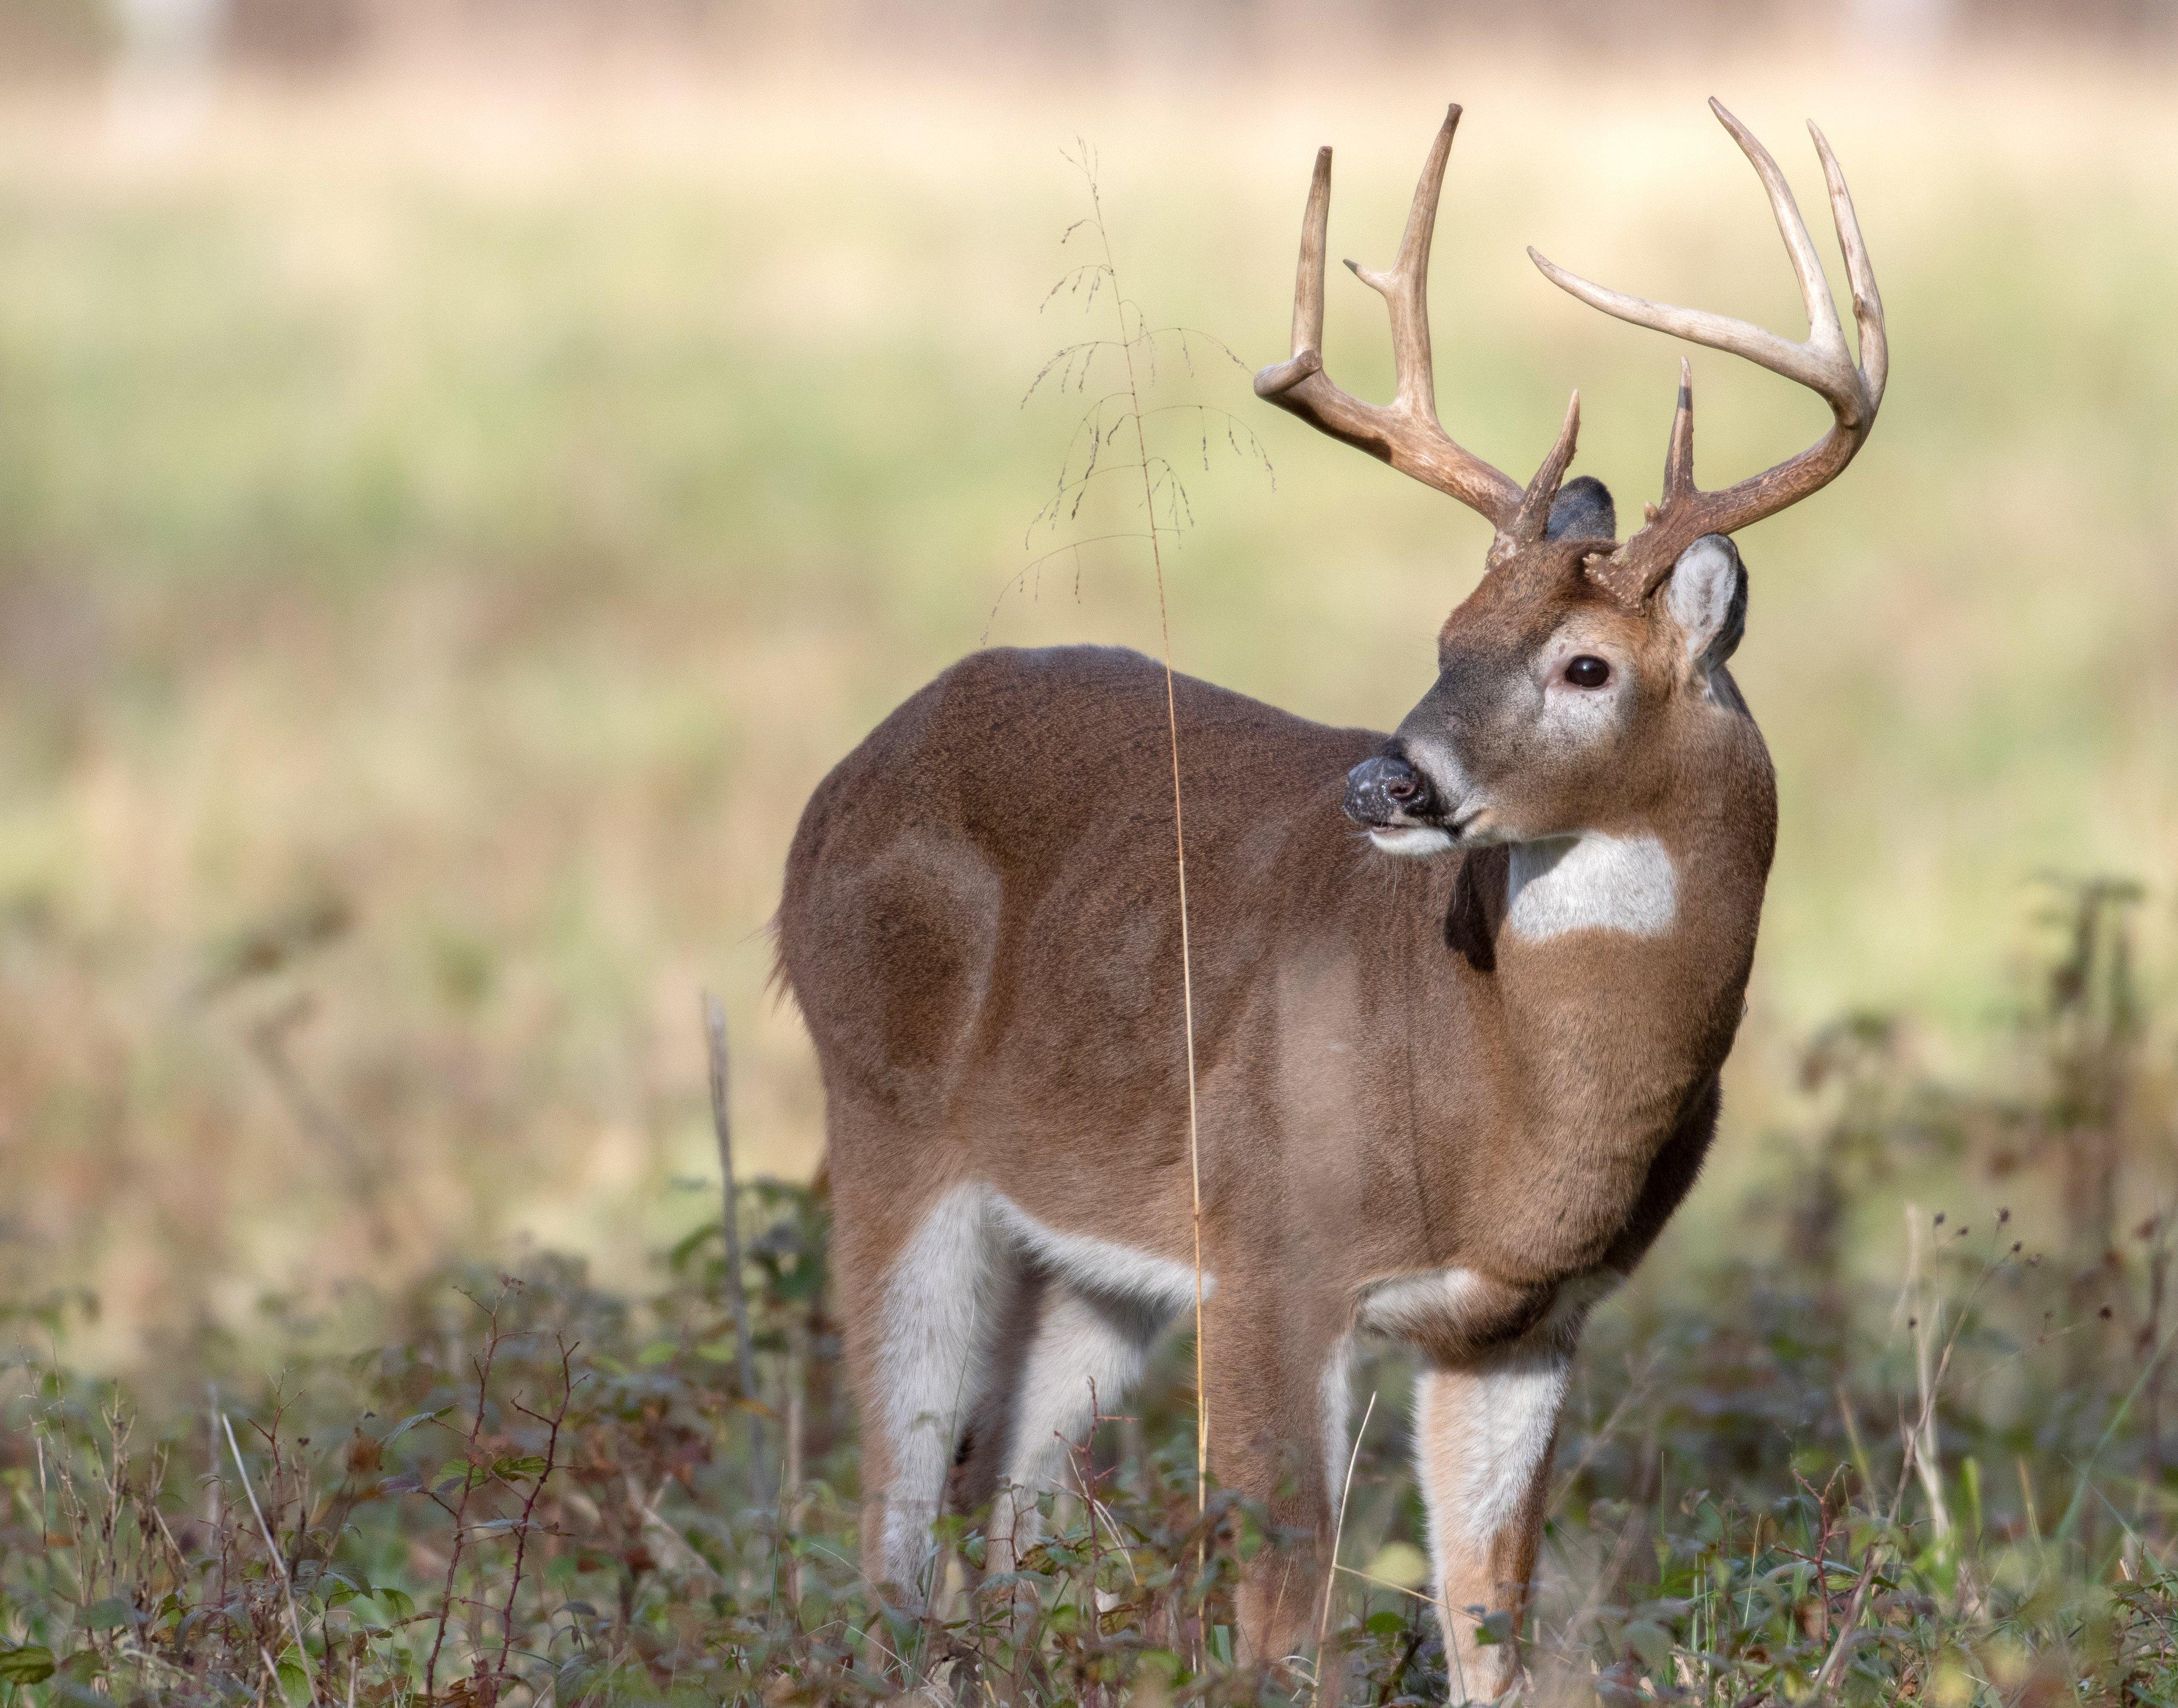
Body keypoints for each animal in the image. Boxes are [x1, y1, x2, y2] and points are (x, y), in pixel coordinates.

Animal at [775, 100, 1882, 1699]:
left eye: (1585, 665)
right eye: (1447, 633)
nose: (1389, 784)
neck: (1498, 1099)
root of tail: (837, 783)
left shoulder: (1523, 1319)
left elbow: (1489, 1615)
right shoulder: (1269, 1243)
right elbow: (1280, 1607)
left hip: (1094, 1236)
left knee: (1011, 1501)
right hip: (886, 1117)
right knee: (894, 1509)